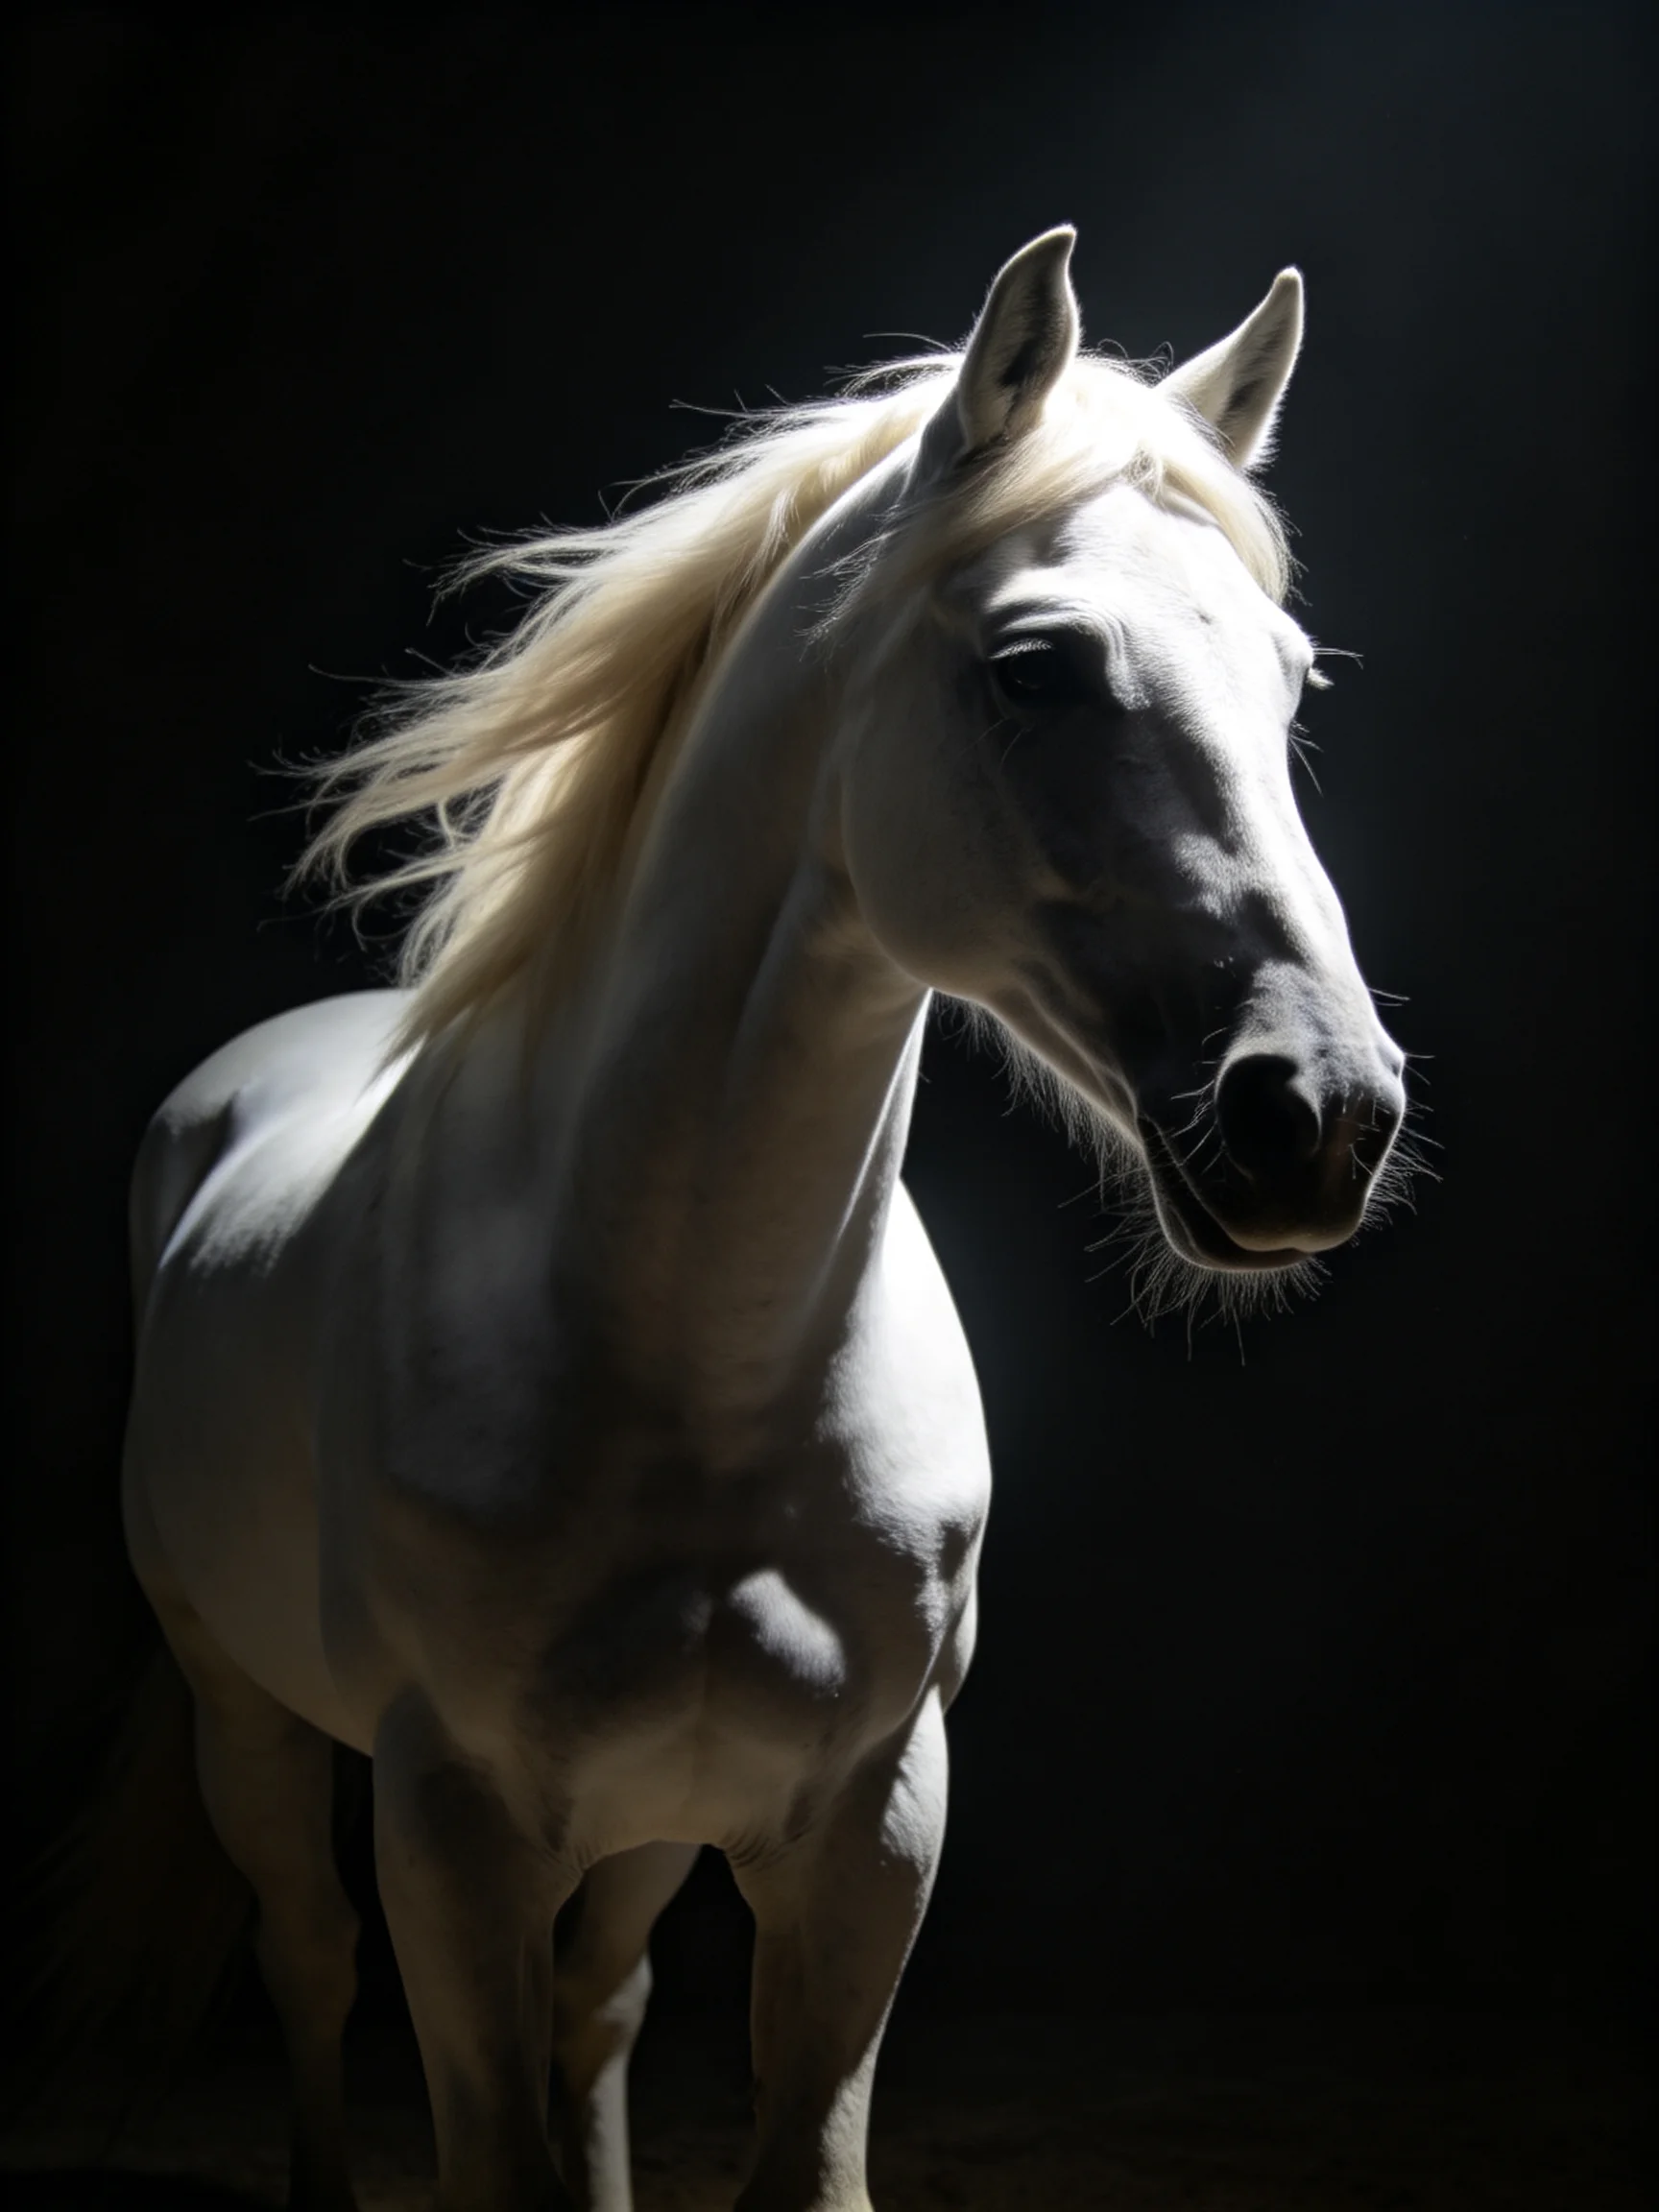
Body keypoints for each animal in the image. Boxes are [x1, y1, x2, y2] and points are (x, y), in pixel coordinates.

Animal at [101, 228, 1405, 2211]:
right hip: (242, 1711)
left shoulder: (867, 1822)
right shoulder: (451, 1831)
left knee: (601, 2004)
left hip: (645, 1819)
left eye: (1291, 682)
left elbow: (786, 2150)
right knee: (308, 1958)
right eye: (1033, 664)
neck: (693, 1359)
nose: (1313, 1117)